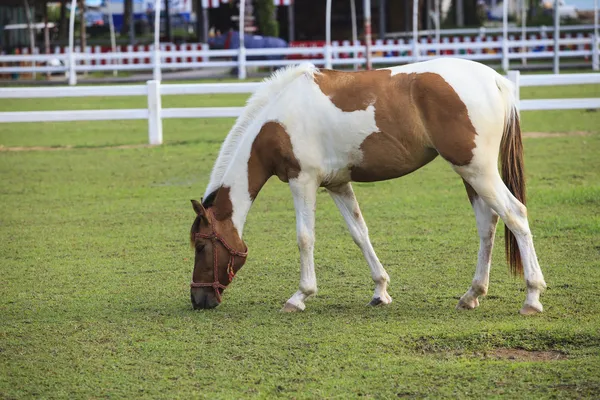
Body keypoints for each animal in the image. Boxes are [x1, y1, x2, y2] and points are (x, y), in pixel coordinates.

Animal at [190, 58, 548, 316]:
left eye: (201, 246)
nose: (198, 299)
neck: (277, 121)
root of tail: (495, 80)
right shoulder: (337, 185)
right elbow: (359, 234)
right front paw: (380, 291)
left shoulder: (302, 180)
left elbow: (305, 238)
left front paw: (300, 296)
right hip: (471, 174)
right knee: (488, 224)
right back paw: (472, 295)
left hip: (478, 171)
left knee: (516, 215)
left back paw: (531, 298)